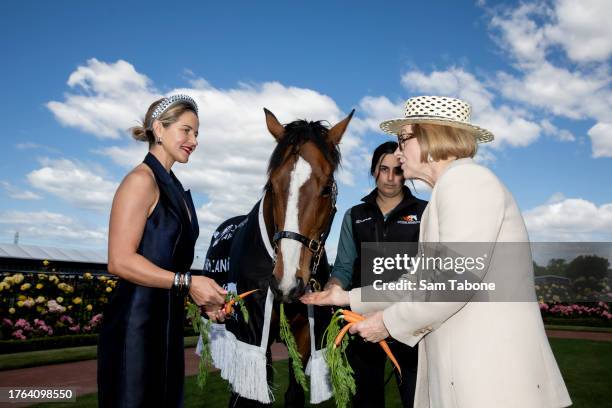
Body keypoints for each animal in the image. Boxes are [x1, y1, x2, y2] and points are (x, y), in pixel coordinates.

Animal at [201, 107, 354, 406]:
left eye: (326, 188)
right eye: (271, 185)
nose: (287, 284)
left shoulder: (304, 334)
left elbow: (294, 391)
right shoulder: (253, 334)